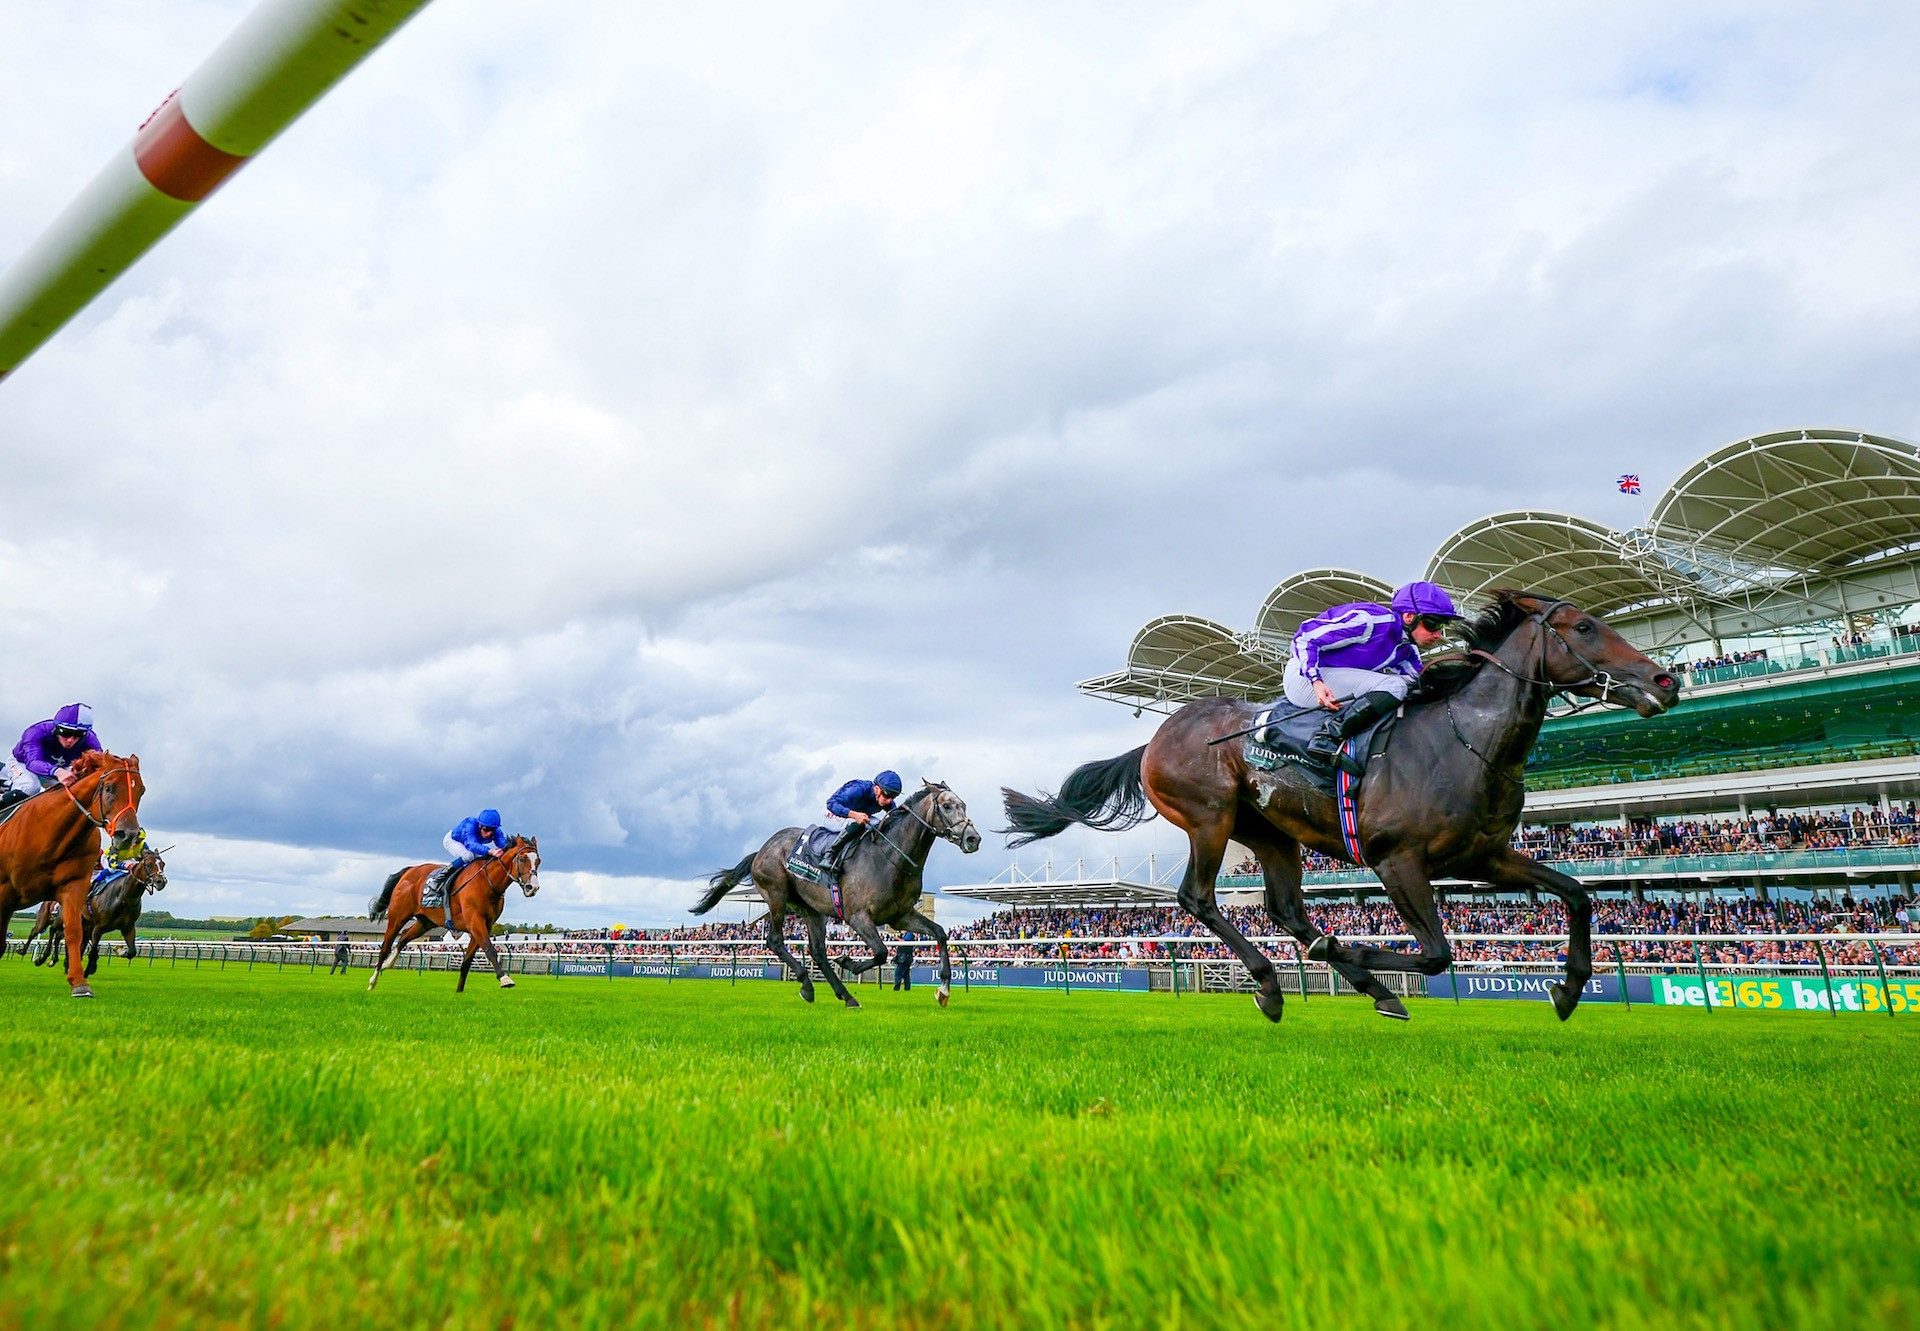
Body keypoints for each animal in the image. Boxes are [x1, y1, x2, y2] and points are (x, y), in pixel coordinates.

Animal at [0, 749, 145, 998]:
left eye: (141, 790)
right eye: (109, 788)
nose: (128, 836)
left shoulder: (74, 885)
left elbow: (74, 933)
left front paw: (79, 982)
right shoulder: (4, 890)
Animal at [24, 845, 168, 971]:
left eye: (163, 864)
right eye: (148, 864)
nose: (161, 882)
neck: (123, 897)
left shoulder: (127, 927)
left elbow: (132, 951)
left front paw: (119, 950)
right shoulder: (98, 927)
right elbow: (93, 952)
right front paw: (89, 969)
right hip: (54, 918)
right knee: (45, 931)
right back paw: (37, 957)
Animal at [362, 837, 541, 991]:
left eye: (538, 861)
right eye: (522, 859)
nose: (532, 887)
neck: (488, 883)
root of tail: (409, 870)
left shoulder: (484, 925)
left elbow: (467, 962)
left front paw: (459, 993)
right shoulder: (475, 921)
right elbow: (490, 950)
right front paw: (505, 979)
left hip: (426, 922)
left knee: (404, 937)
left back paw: (388, 964)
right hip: (397, 916)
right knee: (385, 947)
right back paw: (372, 982)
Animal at [691, 779, 983, 1006]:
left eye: (964, 805)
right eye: (947, 806)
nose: (973, 839)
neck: (890, 858)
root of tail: (762, 849)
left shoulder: (900, 916)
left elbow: (940, 933)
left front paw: (943, 990)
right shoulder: (858, 916)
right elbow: (881, 952)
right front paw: (847, 961)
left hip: (811, 909)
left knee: (818, 951)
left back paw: (844, 995)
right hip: (776, 894)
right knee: (775, 941)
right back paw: (808, 984)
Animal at [1006, 587, 1681, 1014]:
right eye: (1586, 628)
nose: (1666, 679)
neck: (1464, 739)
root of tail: (1155, 736)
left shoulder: (1481, 857)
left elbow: (1576, 895)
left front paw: (1568, 990)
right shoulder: (1397, 860)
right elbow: (1436, 953)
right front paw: (1346, 947)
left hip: (1270, 833)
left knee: (1285, 910)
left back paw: (1363, 985)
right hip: (1209, 818)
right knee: (1197, 899)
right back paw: (1274, 984)